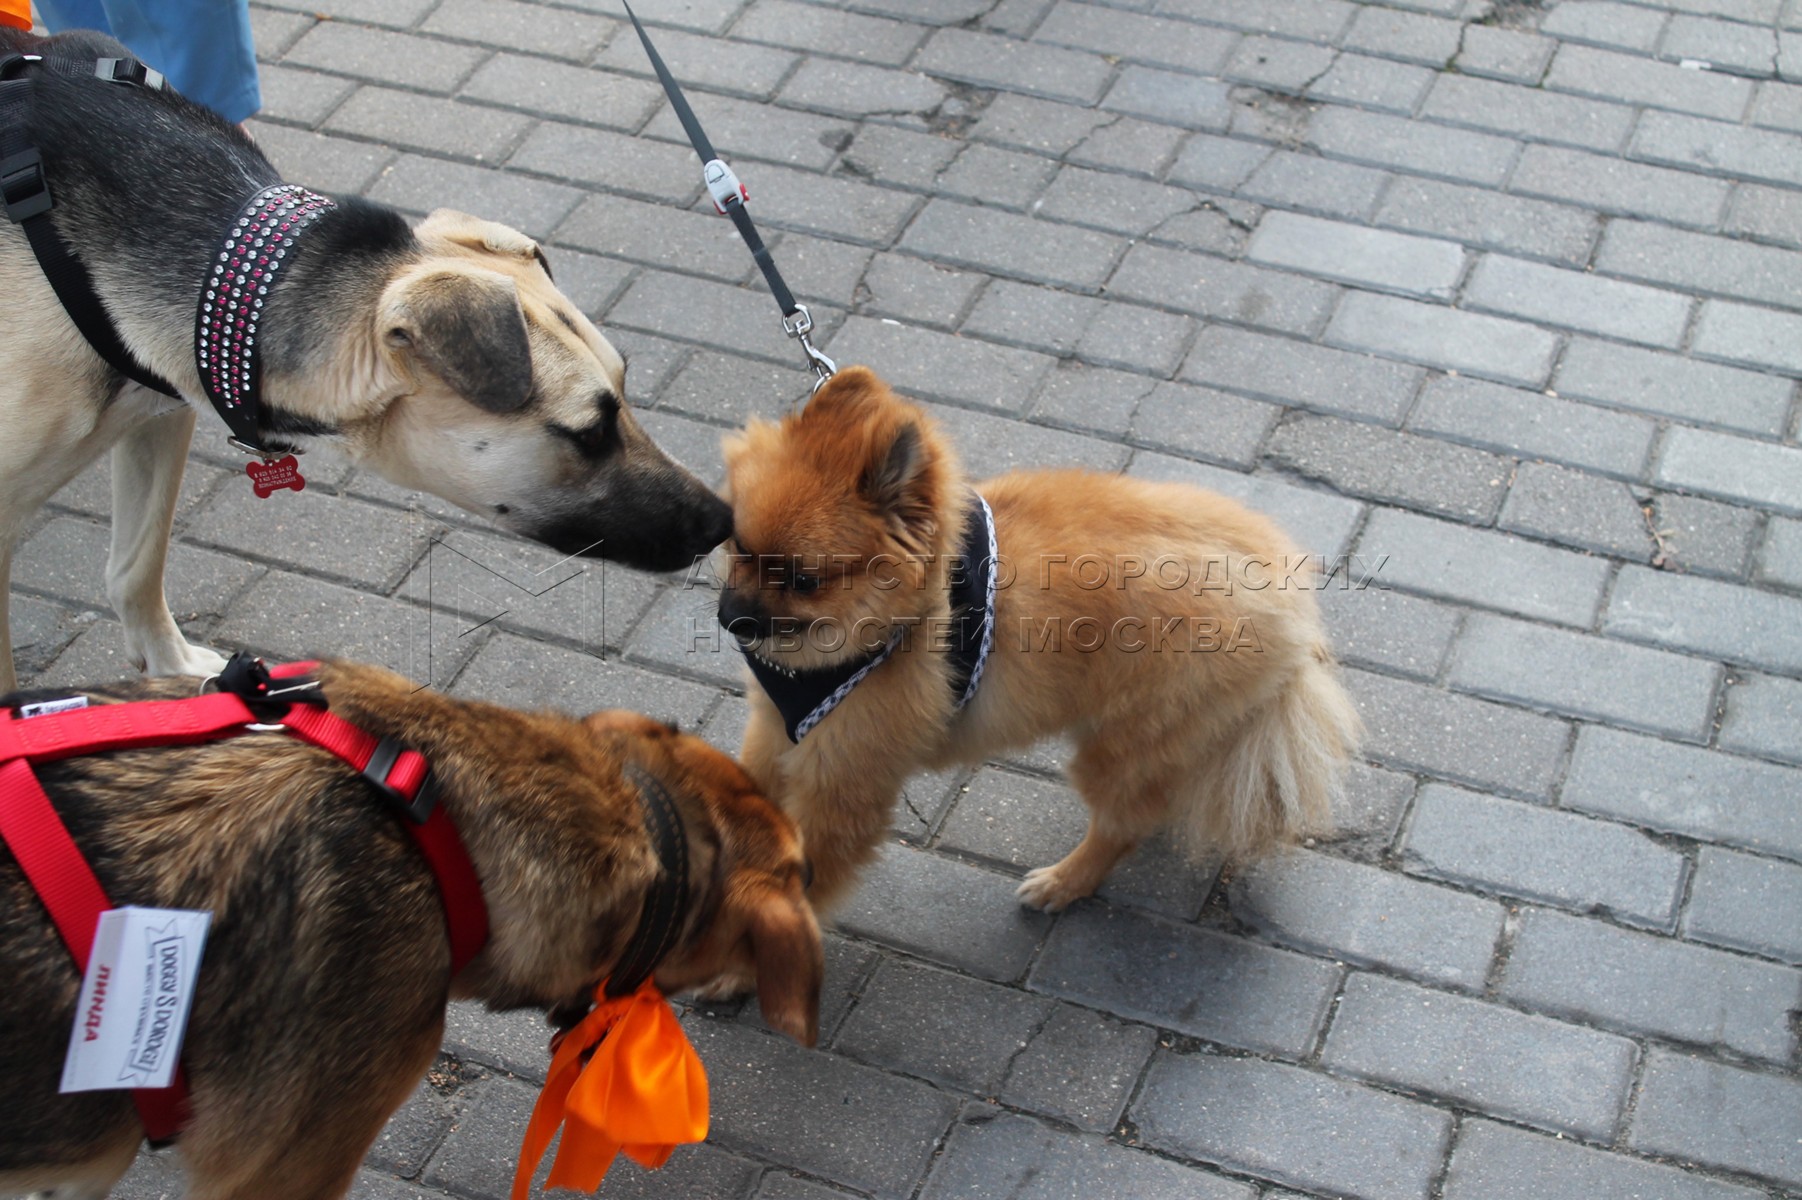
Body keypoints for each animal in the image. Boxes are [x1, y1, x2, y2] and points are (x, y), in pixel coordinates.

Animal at [1, 30, 731, 691]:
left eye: (625, 390)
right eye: (589, 431)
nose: (724, 522)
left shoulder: (160, 414)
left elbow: (137, 564)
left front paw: (173, 673)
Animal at [709, 363, 1355, 908]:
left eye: (803, 580)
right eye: (738, 545)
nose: (728, 616)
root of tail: (1294, 607)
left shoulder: (842, 783)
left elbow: (804, 880)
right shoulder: (774, 729)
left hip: (1119, 748)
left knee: (1122, 825)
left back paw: (1063, 884)